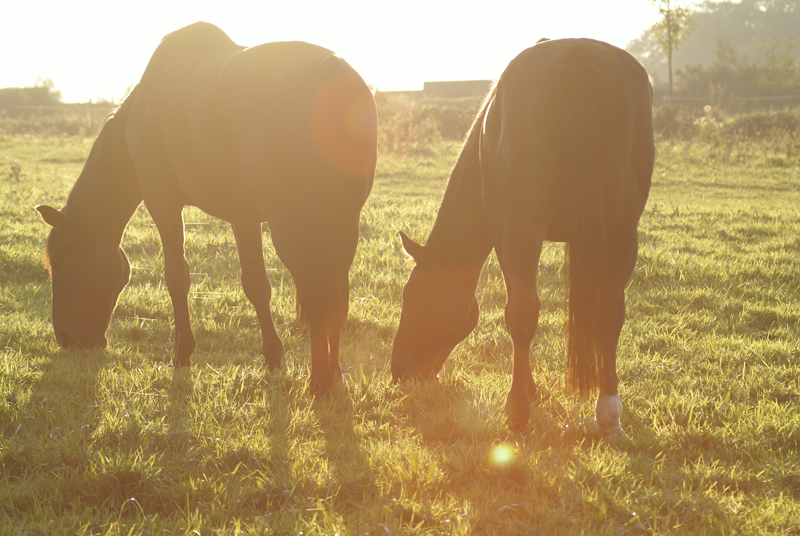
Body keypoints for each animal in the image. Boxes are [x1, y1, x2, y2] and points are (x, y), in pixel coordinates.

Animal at [34, 22, 378, 394]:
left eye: (60, 262)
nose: (67, 338)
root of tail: (328, 70)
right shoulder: (243, 217)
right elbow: (257, 285)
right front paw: (273, 356)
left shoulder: (163, 203)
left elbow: (177, 277)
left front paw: (182, 352)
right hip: (343, 223)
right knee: (336, 294)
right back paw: (335, 374)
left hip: (296, 227)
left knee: (318, 294)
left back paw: (320, 381)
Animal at [390, 37, 652, 434]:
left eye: (412, 297)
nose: (398, 372)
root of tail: (578, 60)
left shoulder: (505, 231)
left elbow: (516, 308)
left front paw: (528, 392)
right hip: (620, 230)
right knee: (610, 311)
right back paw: (607, 411)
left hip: (523, 228)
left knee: (524, 312)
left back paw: (517, 410)